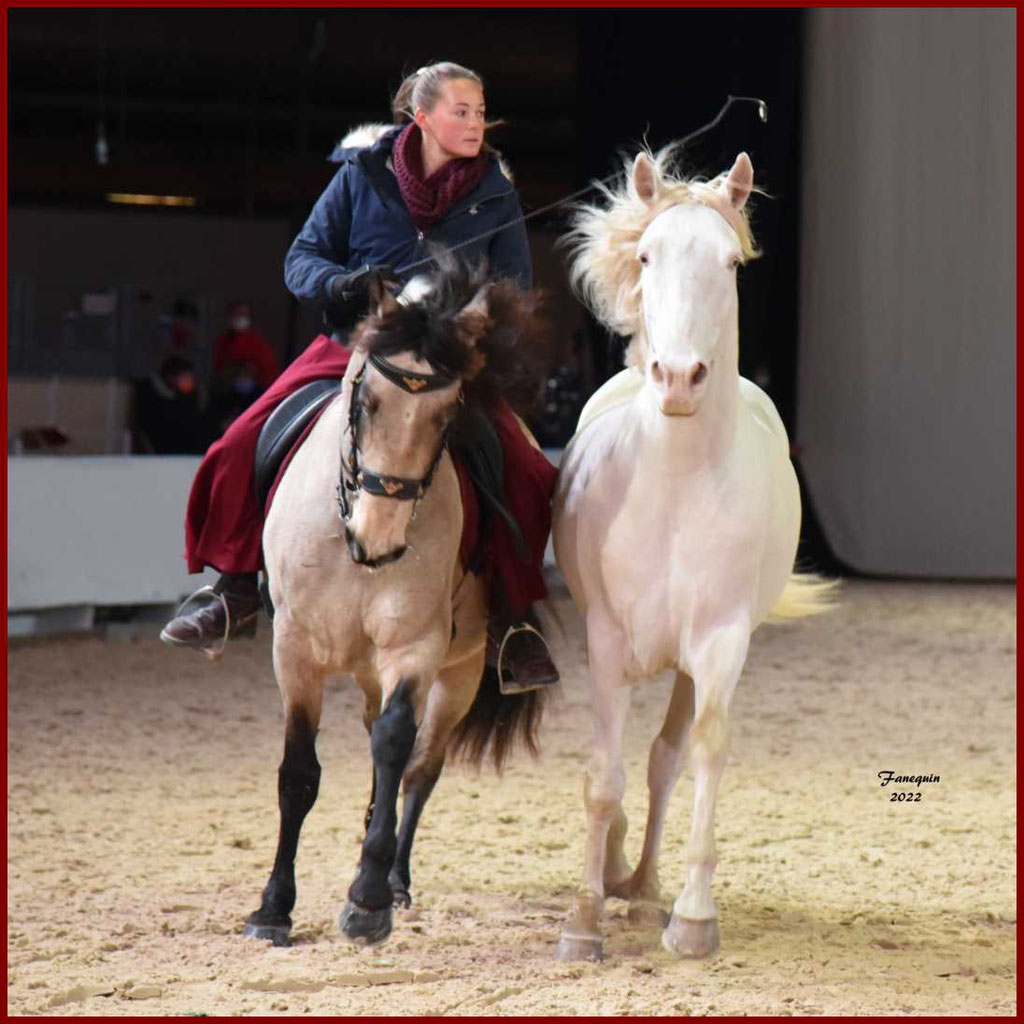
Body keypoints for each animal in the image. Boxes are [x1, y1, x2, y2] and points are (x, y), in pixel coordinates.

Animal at [552, 149, 831, 958]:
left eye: (730, 262)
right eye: (648, 255)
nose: (677, 378)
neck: (673, 488)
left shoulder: (718, 642)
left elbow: (702, 752)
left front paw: (693, 917)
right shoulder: (607, 644)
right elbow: (599, 778)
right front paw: (583, 921)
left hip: (684, 664)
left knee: (665, 759)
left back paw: (644, 885)